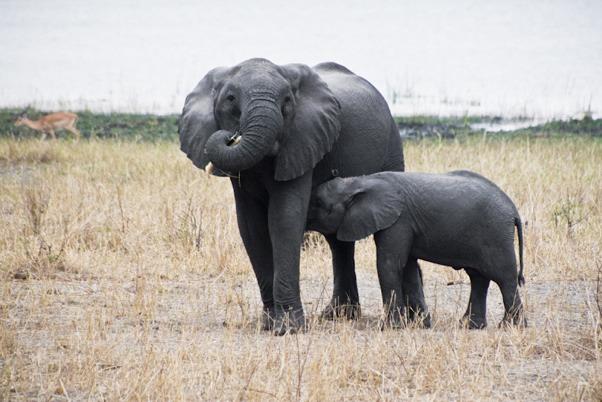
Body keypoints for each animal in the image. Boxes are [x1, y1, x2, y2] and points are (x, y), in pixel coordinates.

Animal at [178, 56, 426, 332]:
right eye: (230, 98)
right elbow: (252, 228)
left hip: (392, 145)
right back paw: (338, 315)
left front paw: (287, 329)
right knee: (338, 241)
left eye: (287, 101)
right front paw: (268, 324)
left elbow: (284, 220)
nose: (231, 136)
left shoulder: (303, 141)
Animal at [308, 170, 524, 330]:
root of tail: (514, 211)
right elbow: (408, 269)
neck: (359, 182)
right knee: (479, 278)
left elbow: (389, 265)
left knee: (504, 278)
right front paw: (421, 325)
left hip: (495, 234)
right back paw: (470, 326)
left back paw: (510, 326)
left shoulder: (398, 221)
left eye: (318, 203)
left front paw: (390, 328)